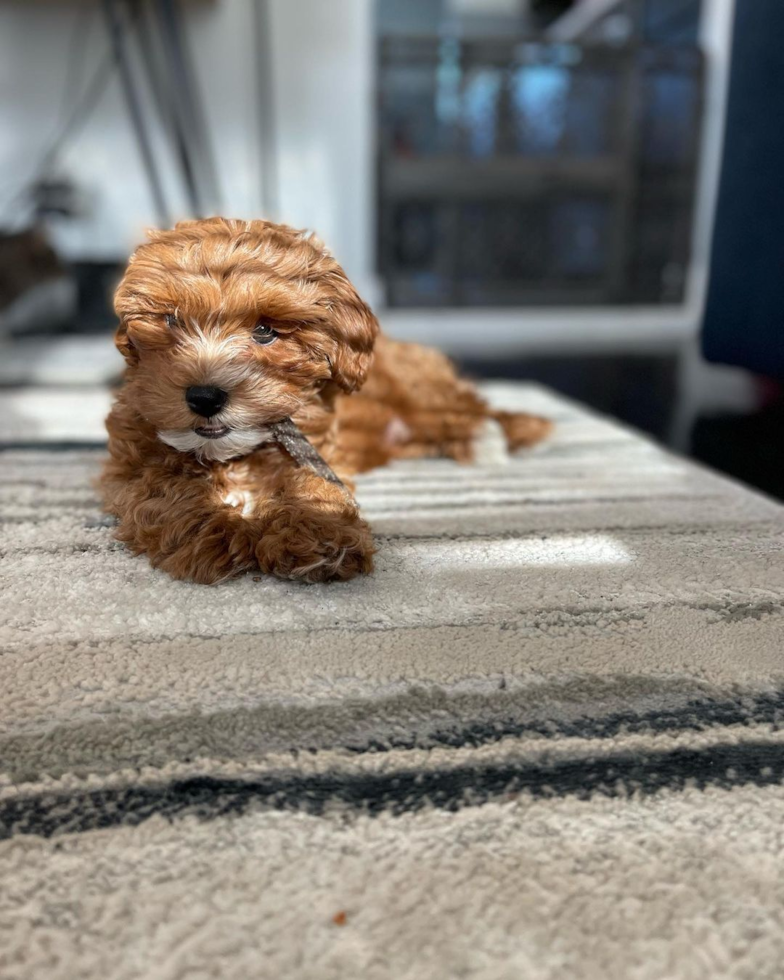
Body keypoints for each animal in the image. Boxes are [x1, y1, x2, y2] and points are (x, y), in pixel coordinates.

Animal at [101, 217, 552, 580]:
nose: (205, 397)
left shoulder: (316, 448)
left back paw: (489, 436)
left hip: (418, 386)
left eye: (265, 331)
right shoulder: (130, 461)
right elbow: (163, 491)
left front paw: (319, 536)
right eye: (170, 321)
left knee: (464, 408)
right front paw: (217, 533)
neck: (233, 454)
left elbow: (309, 483)